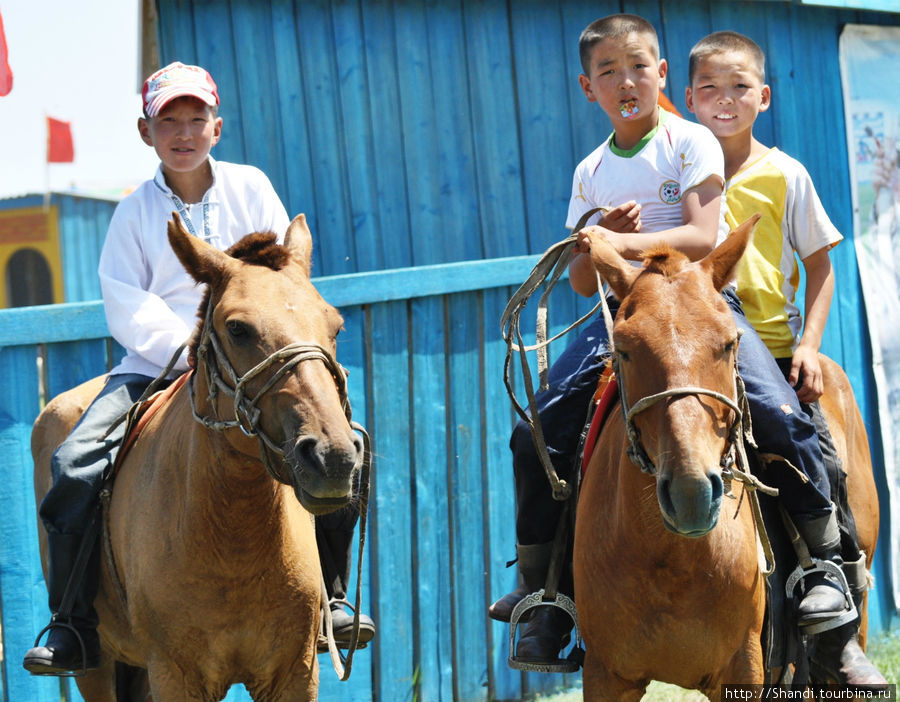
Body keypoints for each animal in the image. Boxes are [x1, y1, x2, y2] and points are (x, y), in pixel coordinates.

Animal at [32, 214, 362, 702]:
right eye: (238, 328)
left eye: (335, 325)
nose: (332, 456)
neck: (229, 537)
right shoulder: (176, 676)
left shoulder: (295, 673)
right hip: (100, 668)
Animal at [572, 217, 876, 700]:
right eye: (623, 348)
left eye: (731, 343)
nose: (691, 493)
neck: (672, 561)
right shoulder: (605, 674)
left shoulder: (745, 669)